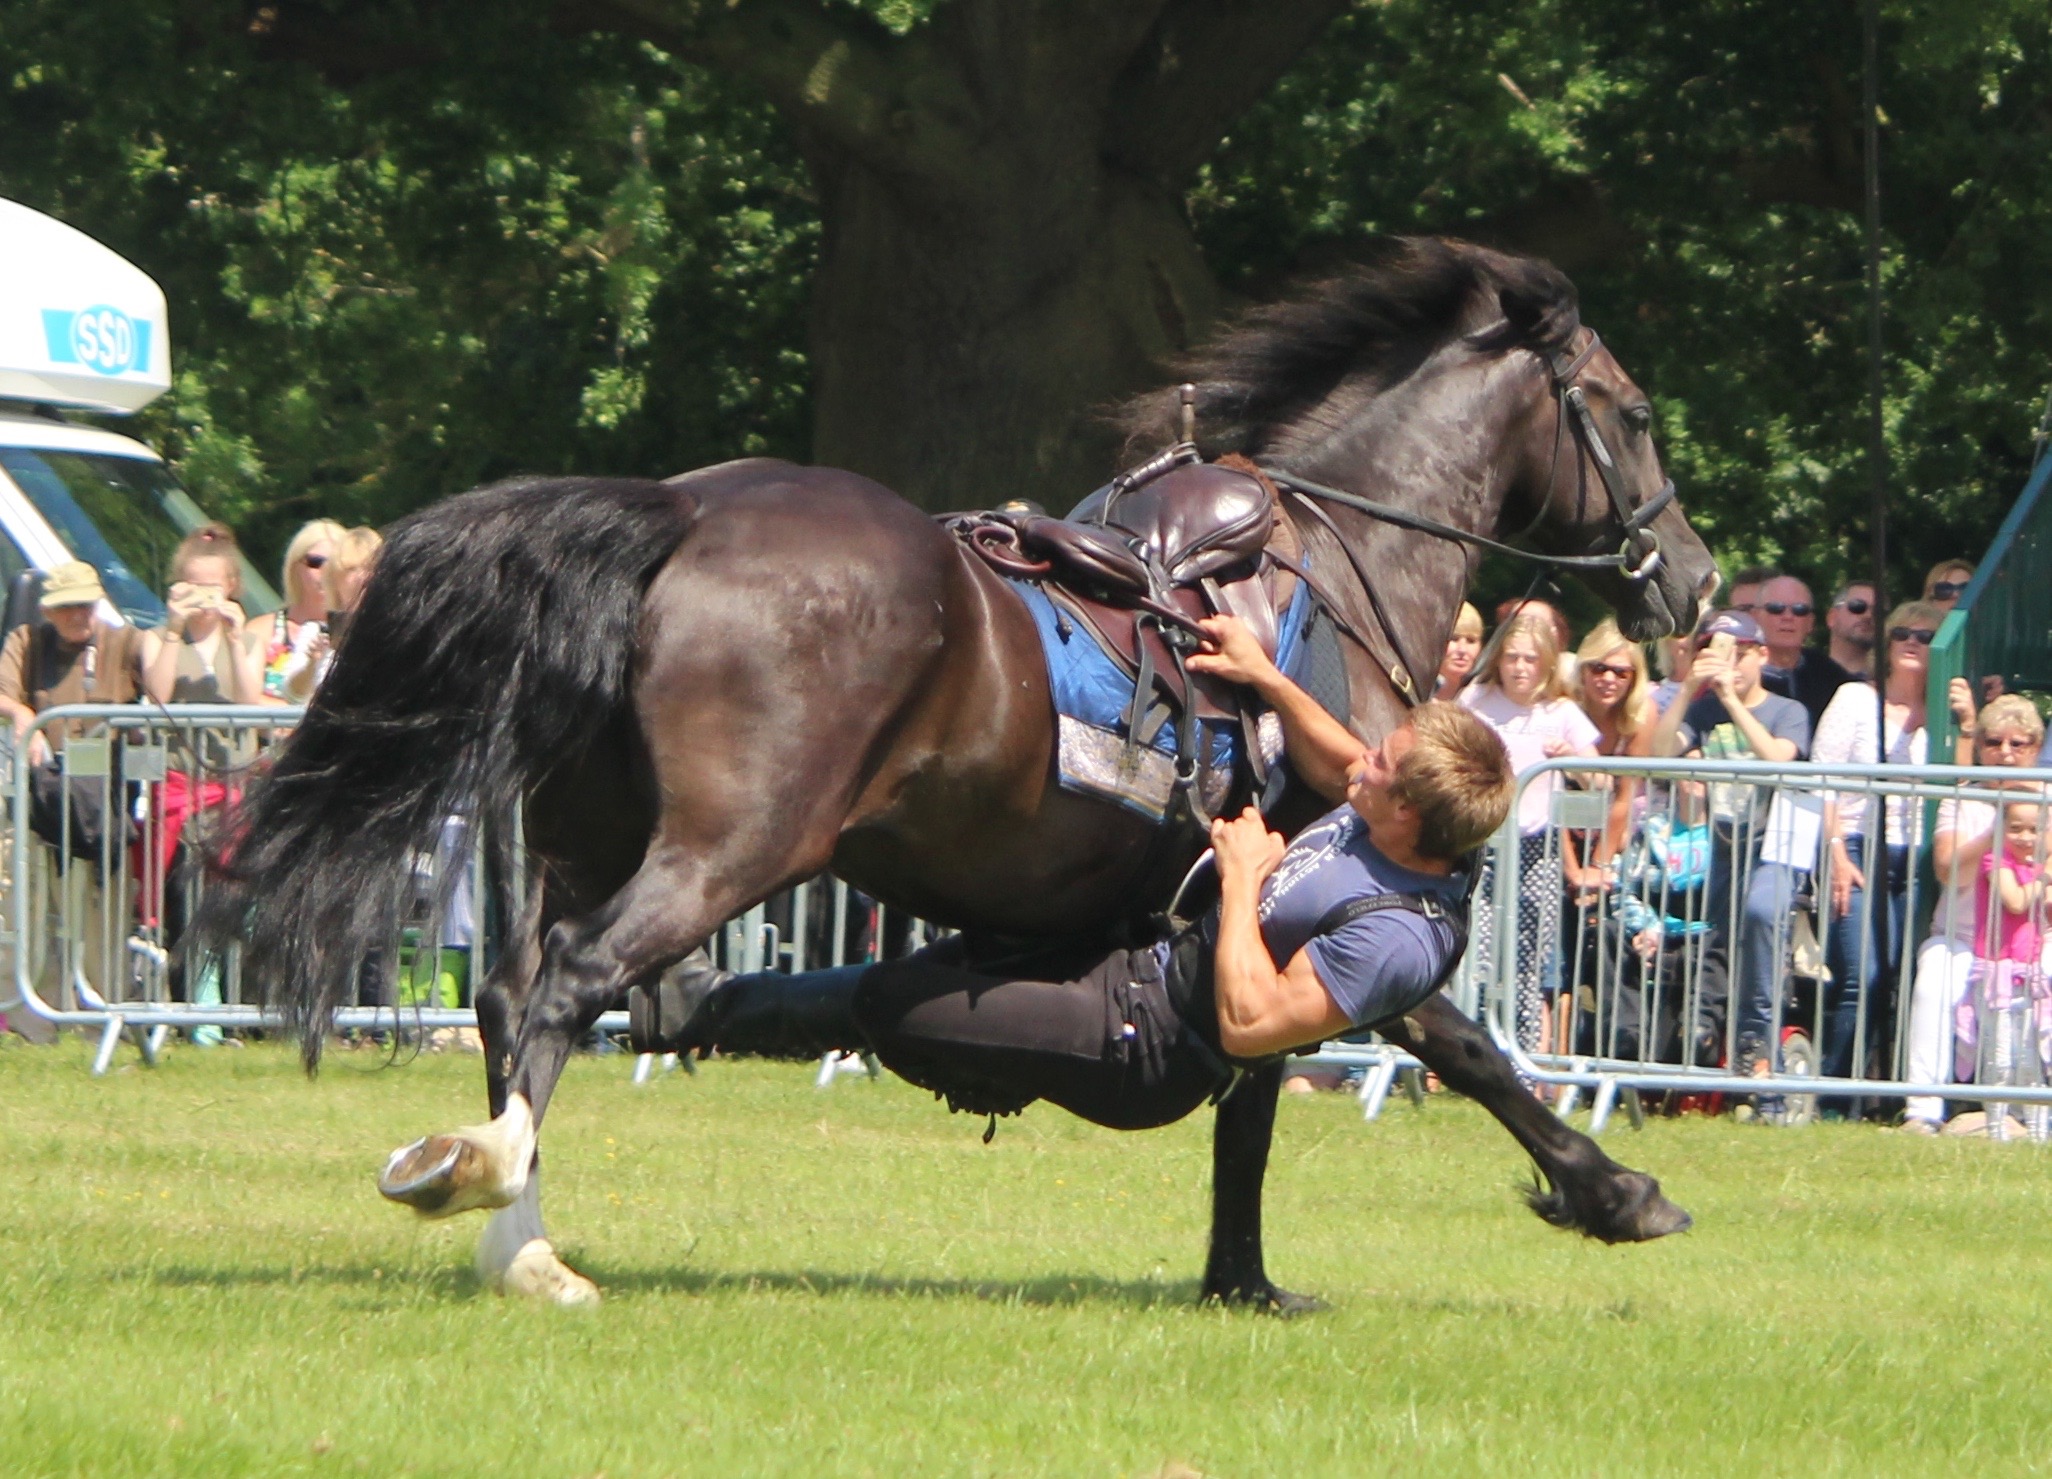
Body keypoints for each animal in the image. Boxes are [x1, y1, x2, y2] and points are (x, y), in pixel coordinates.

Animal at [204, 238, 1715, 1304]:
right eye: (1634, 413)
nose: (1692, 579)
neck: (1335, 567)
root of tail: (679, 510)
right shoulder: (1314, 870)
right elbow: (1451, 1046)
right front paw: (1612, 1189)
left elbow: (1261, 1101)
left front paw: (1239, 1278)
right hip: (727, 849)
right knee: (569, 985)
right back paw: (509, 1213)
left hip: (590, 837)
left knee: (539, 998)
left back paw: (511, 1221)